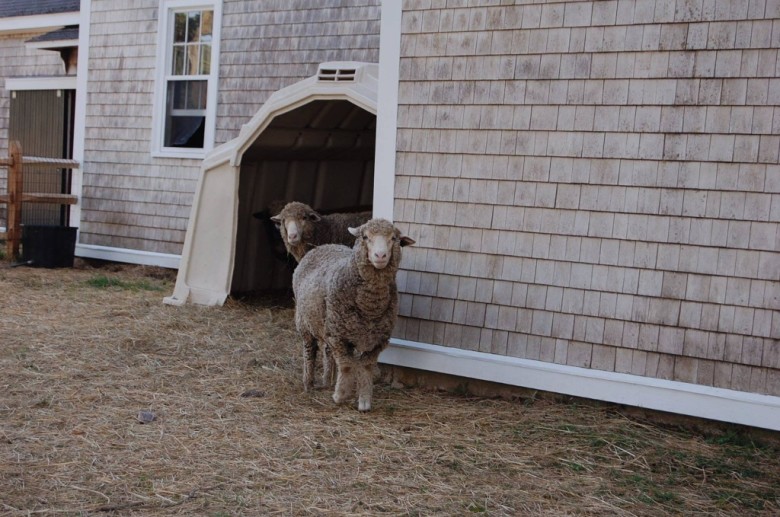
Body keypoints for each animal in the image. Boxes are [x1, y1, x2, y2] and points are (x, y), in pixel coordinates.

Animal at [290, 216, 414, 410]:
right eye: (365, 237)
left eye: (394, 238)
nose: (380, 256)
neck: (369, 307)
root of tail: (324, 245)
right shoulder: (340, 338)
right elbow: (347, 365)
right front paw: (340, 396)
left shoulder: (377, 340)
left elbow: (366, 367)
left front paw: (364, 400)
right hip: (305, 324)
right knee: (310, 351)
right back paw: (308, 383)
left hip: (329, 325)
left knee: (327, 351)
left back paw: (328, 380)